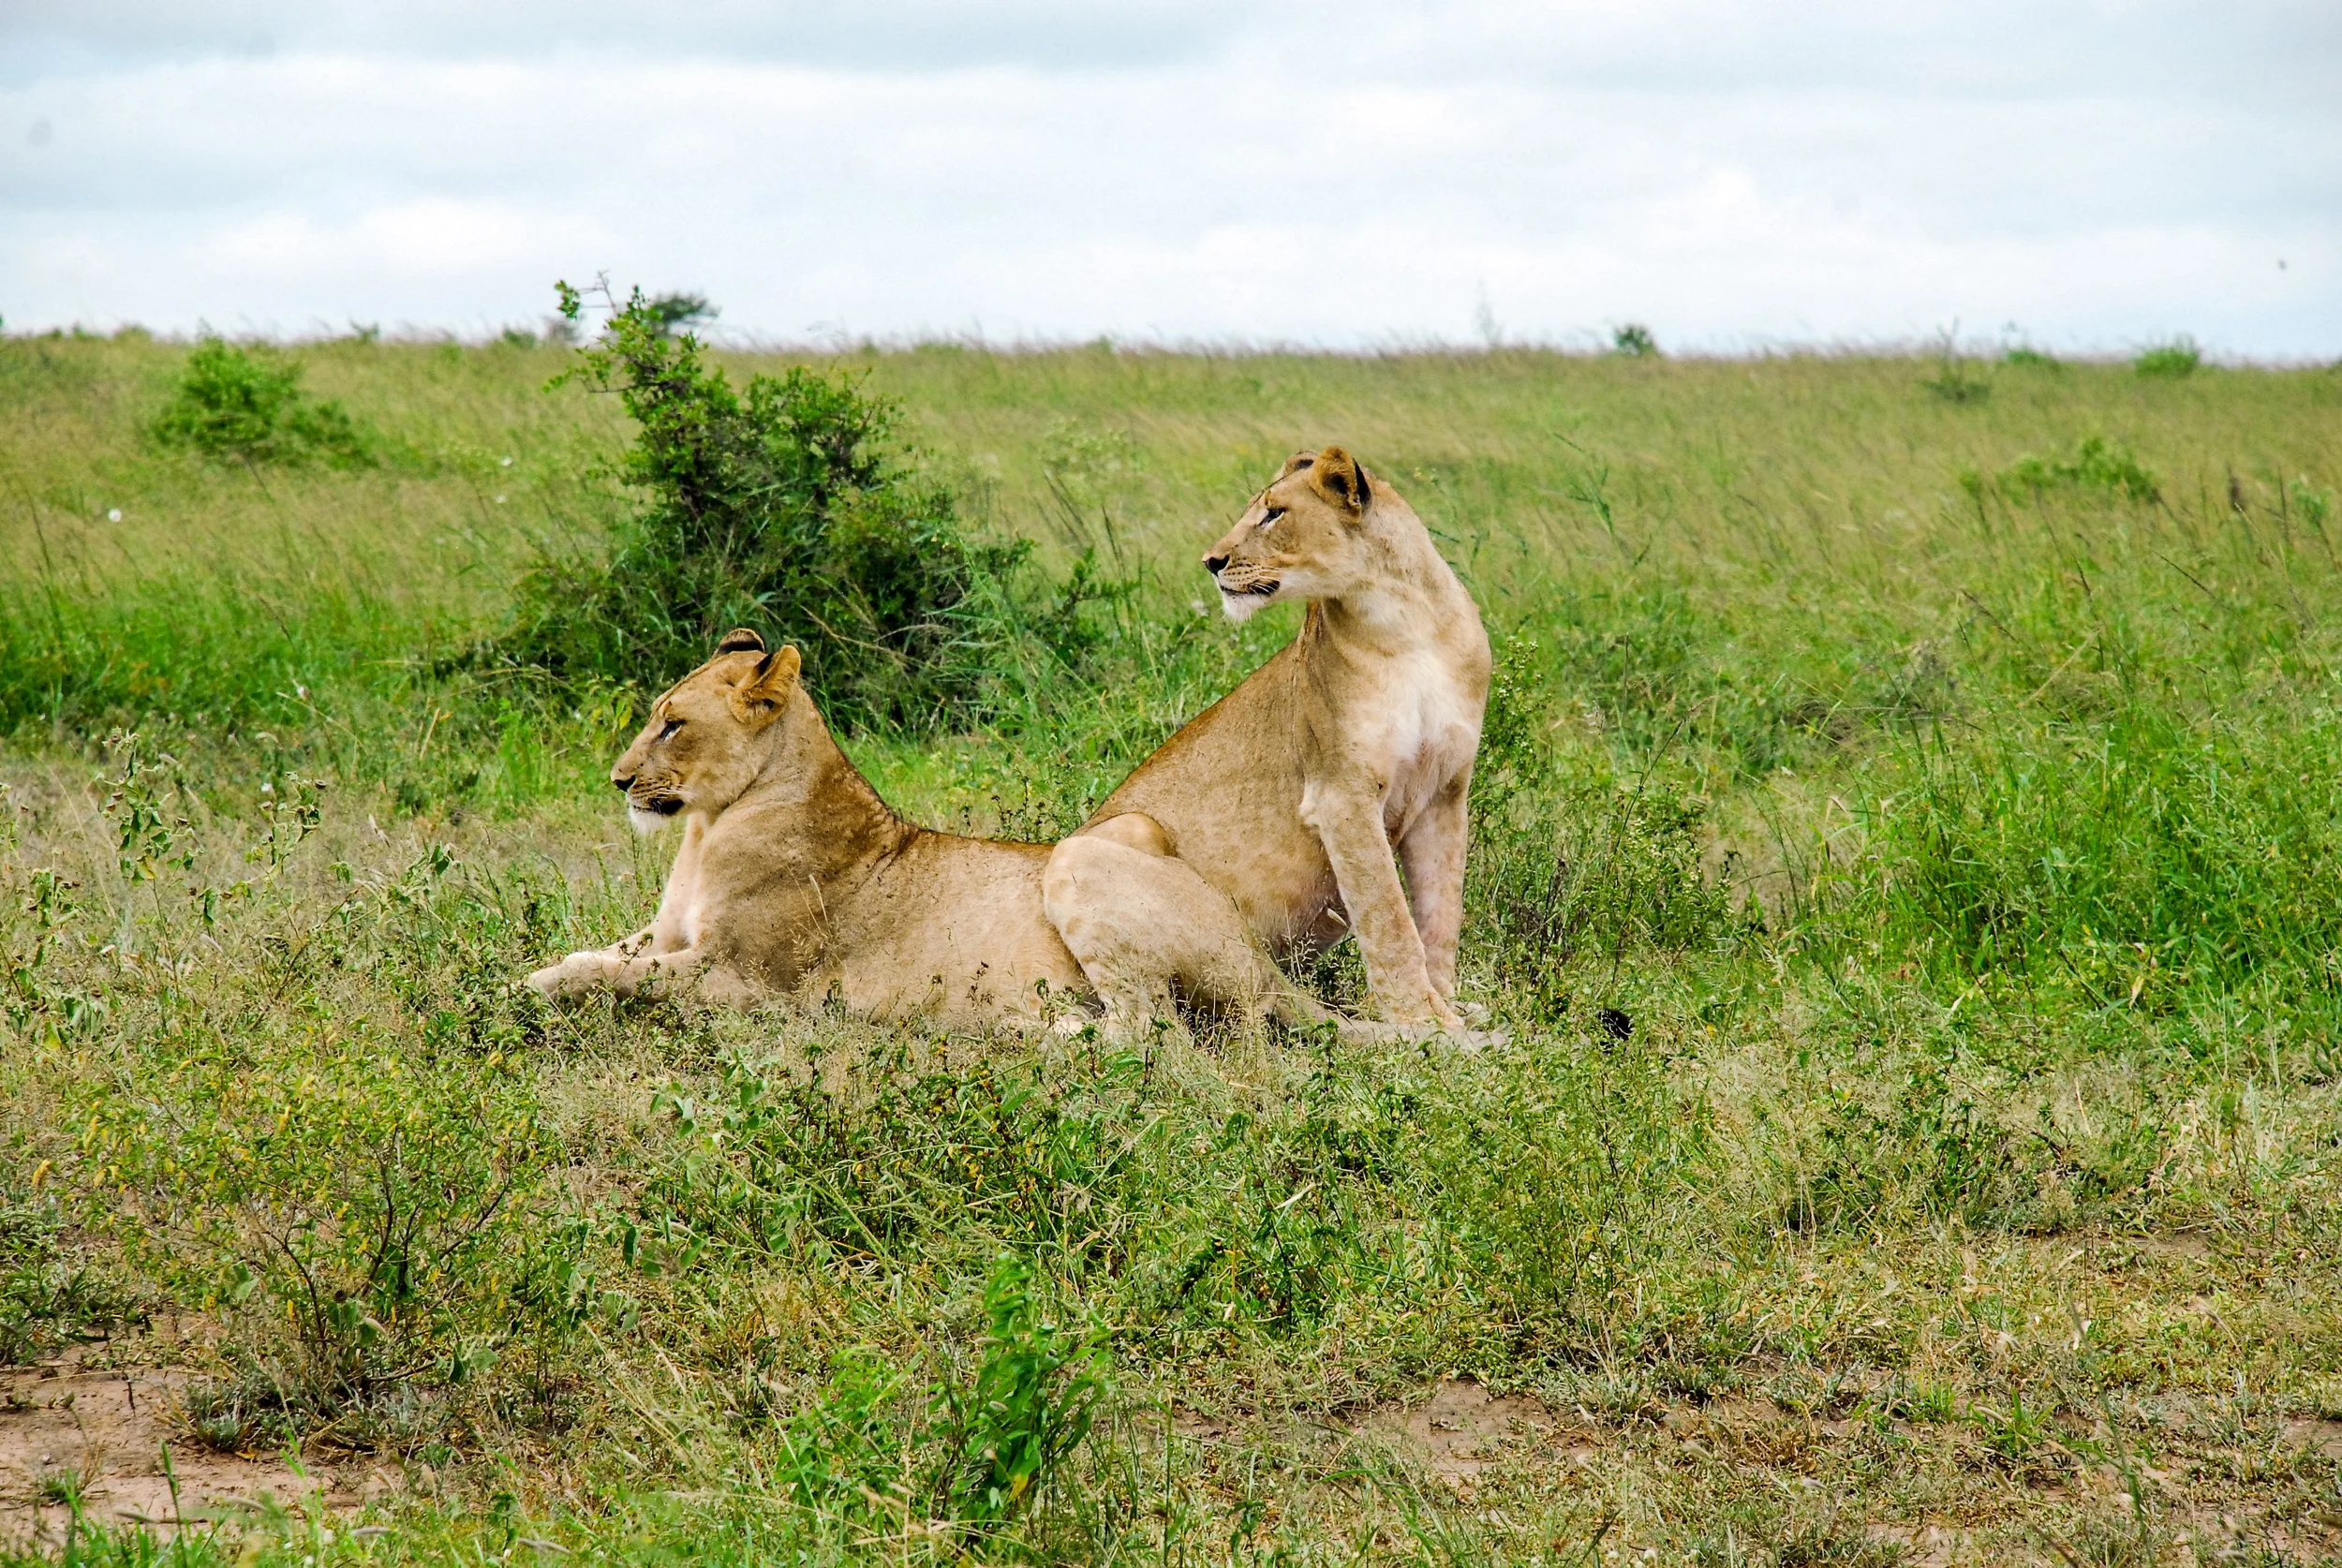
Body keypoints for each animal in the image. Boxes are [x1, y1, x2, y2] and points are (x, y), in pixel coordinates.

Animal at [525, 628, 1337, 1039]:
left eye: (674, 723)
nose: (618, 781)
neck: (709, 826)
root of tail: (1259, 956)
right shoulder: (669, 935)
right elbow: (595, 953)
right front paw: (522, 977)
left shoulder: (742, 979)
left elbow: (612, 975)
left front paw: (531, 993)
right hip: (1131, 828)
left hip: (1079, 858)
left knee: (1152, 1033)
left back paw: (1036, 1033)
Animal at [1042, 447, 1491, 1034]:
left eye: (1274, 514)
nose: (1210, 561)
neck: (1405, 621)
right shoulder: (1341, 793)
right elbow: (1388, 917)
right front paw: (1421, 1020)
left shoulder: (1445, 792)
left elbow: (1440, 915)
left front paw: (1446, 1007)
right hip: (1100, 848)